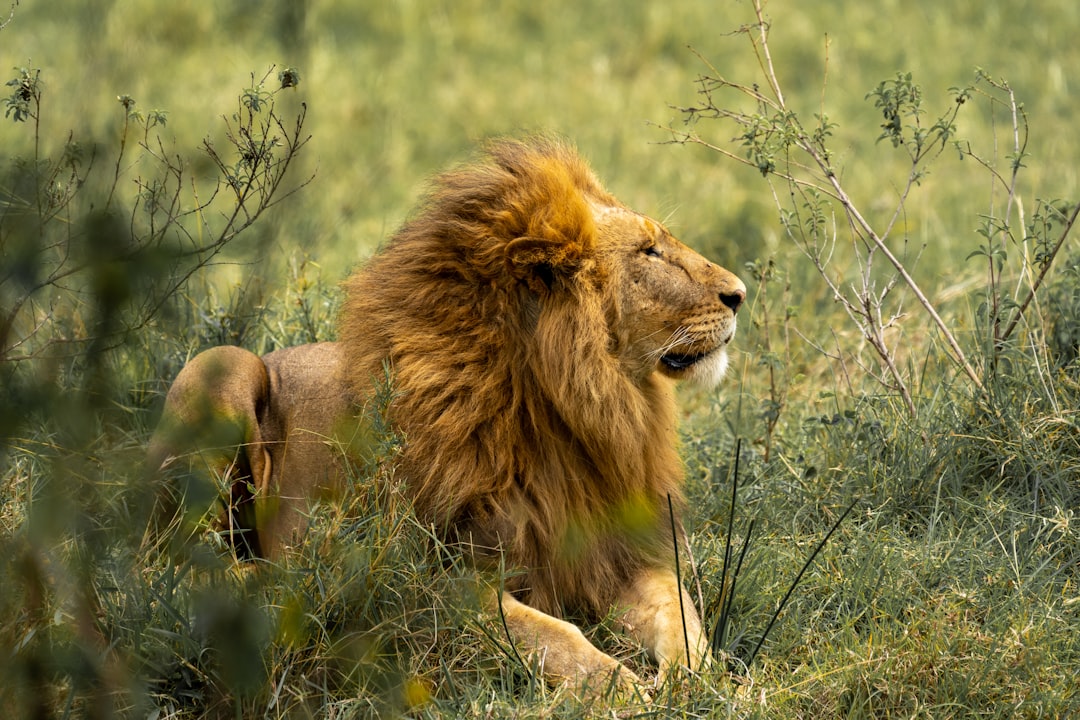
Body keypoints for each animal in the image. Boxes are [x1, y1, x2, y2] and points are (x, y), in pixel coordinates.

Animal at [149, 137, 746, 699]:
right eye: (650, 252)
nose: (740, 294)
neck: (573, 411)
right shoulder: (427, 577)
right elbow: (549, 633)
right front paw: (619, 685)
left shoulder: (619, 552)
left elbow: (680, 614)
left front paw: (700, 680)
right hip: (222, 367)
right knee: (172, 562)